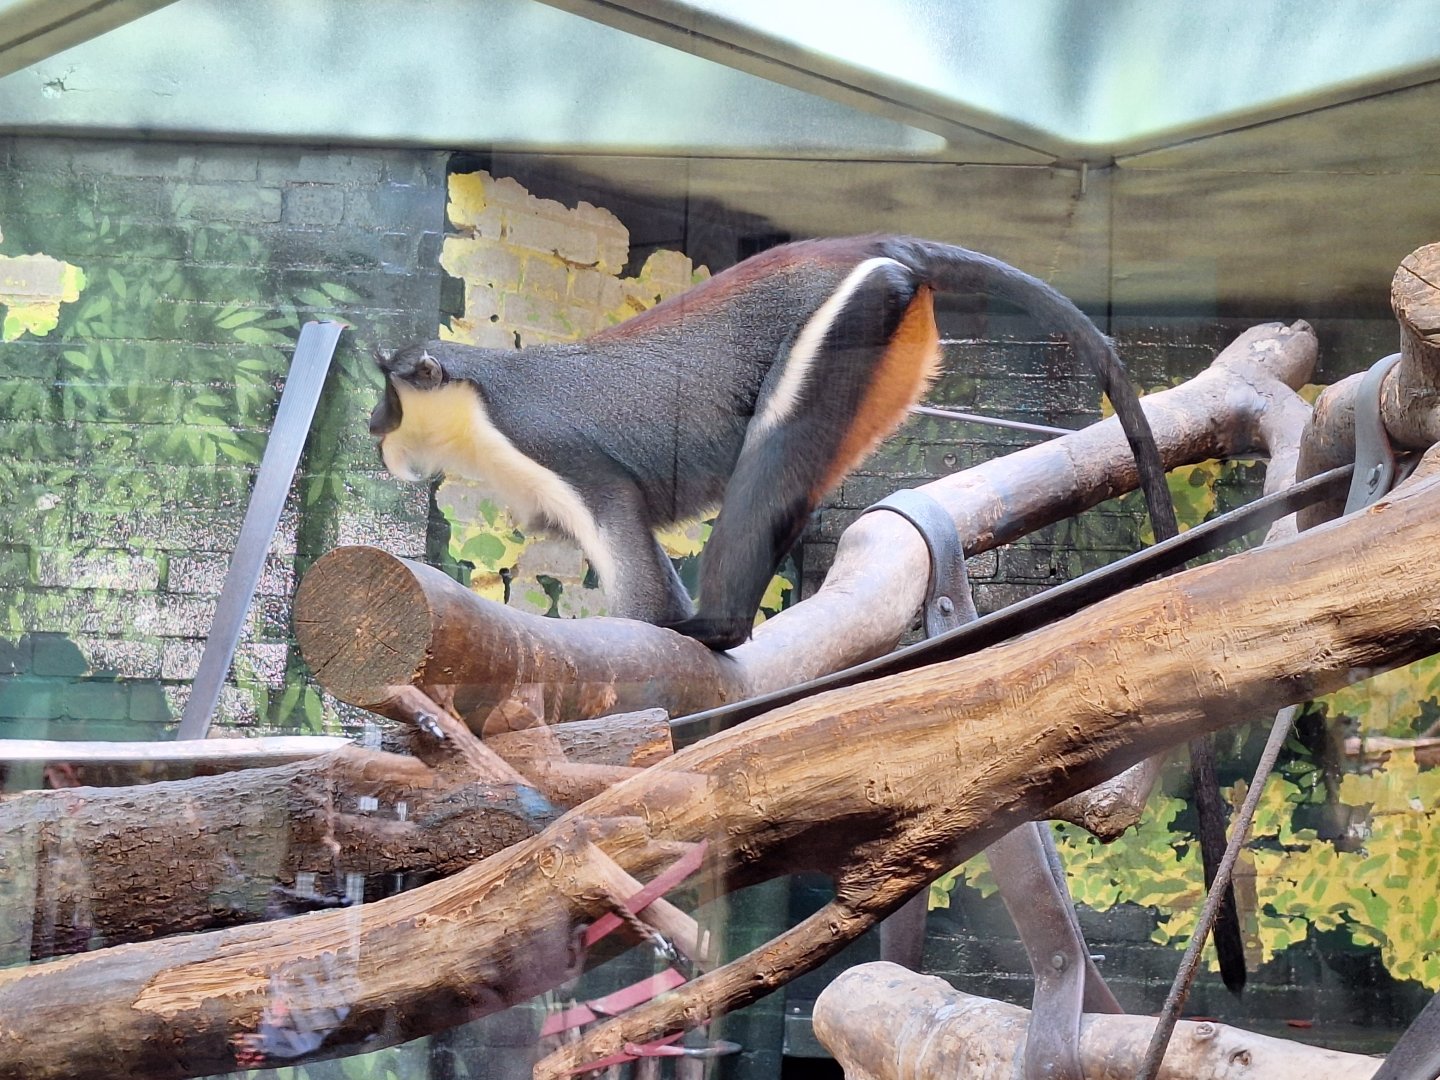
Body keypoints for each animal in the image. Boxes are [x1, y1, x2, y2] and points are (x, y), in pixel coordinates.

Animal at [370, 234, 1179, 652]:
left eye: (391, 393)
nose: (374, 424)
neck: (479, 404)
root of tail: (877, 245)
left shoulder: (554, 455)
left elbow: (633, 568)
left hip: (851, 314)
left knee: (773, 455)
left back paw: (718, 627)